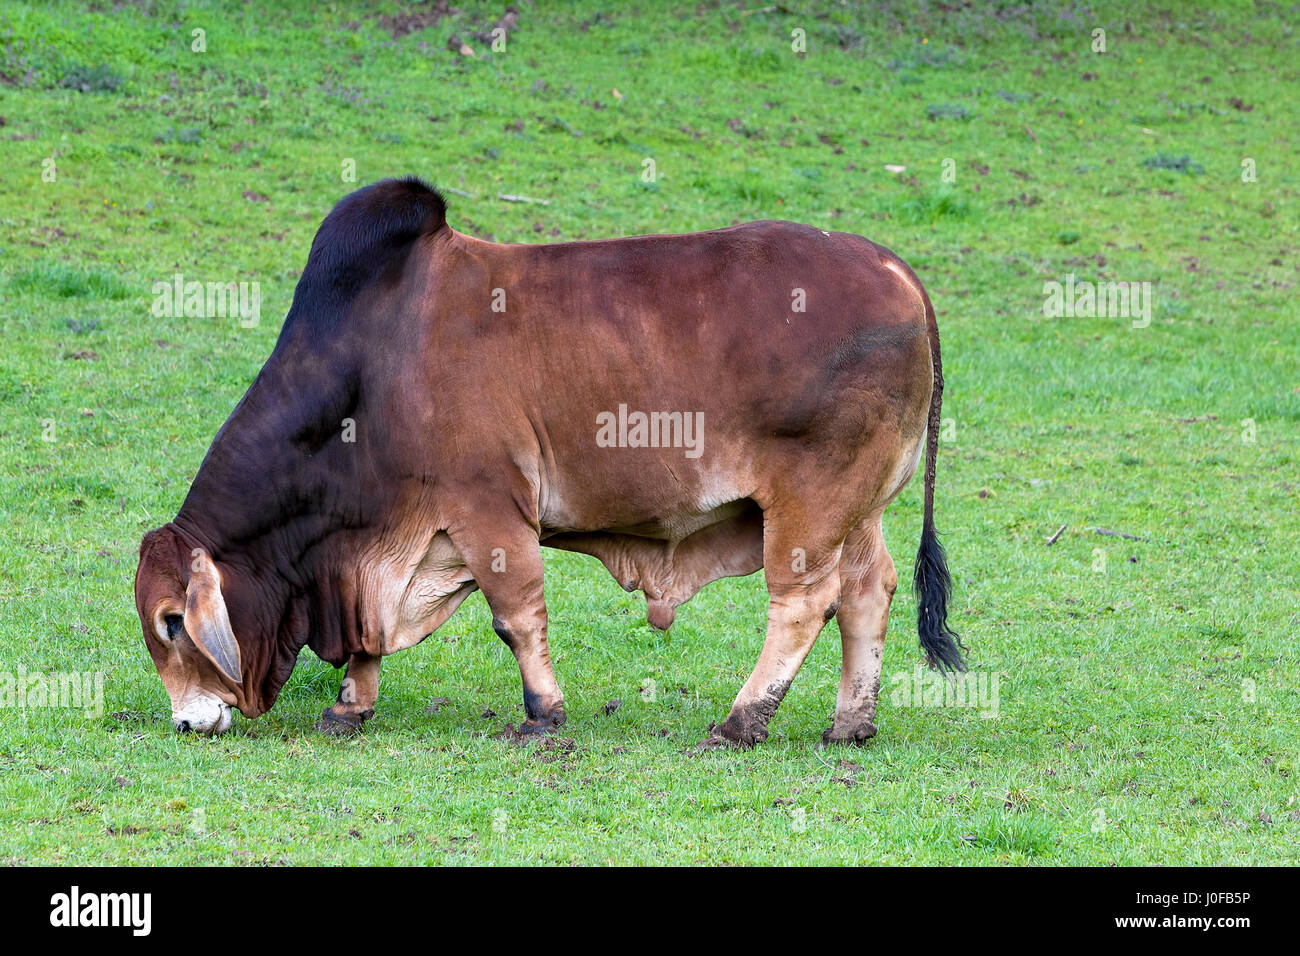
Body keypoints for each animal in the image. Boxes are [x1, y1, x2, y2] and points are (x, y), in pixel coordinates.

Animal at [134, 179, 967, 749]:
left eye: (172, 621)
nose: (186, 722)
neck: (368, 371)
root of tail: (892, 267)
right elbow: (372, 641)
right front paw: (350, 705)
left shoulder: (487, 508)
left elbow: (516, 615)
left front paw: (543, 713)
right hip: (861, 510)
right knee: (868, 591)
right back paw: (849, 723)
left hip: (809, 503)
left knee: (803, 602)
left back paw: (740, 721)